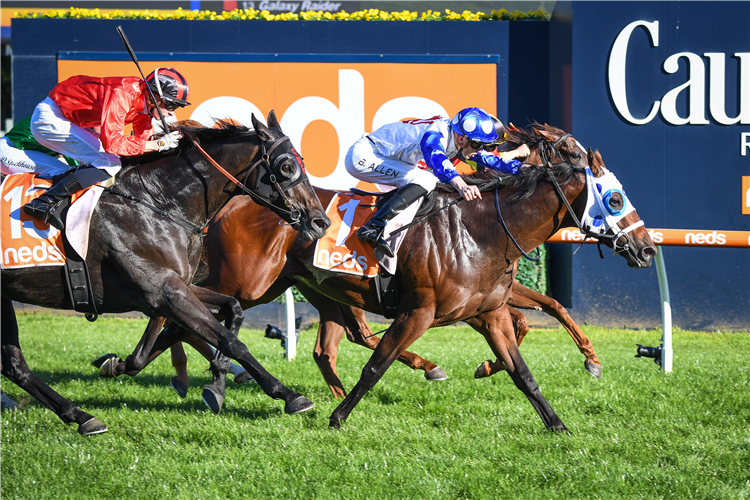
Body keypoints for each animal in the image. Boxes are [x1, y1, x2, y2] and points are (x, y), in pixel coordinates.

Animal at [0, 112, 332, 434]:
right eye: (287, 166)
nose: (321, 222)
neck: (159, 202)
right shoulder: (164, 291)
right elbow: (230, 340)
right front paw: (288, 394)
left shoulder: (178, 285)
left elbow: (232, 310)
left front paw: (214, 381)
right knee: (15, 364)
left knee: (15, 365)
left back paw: (81, 416)